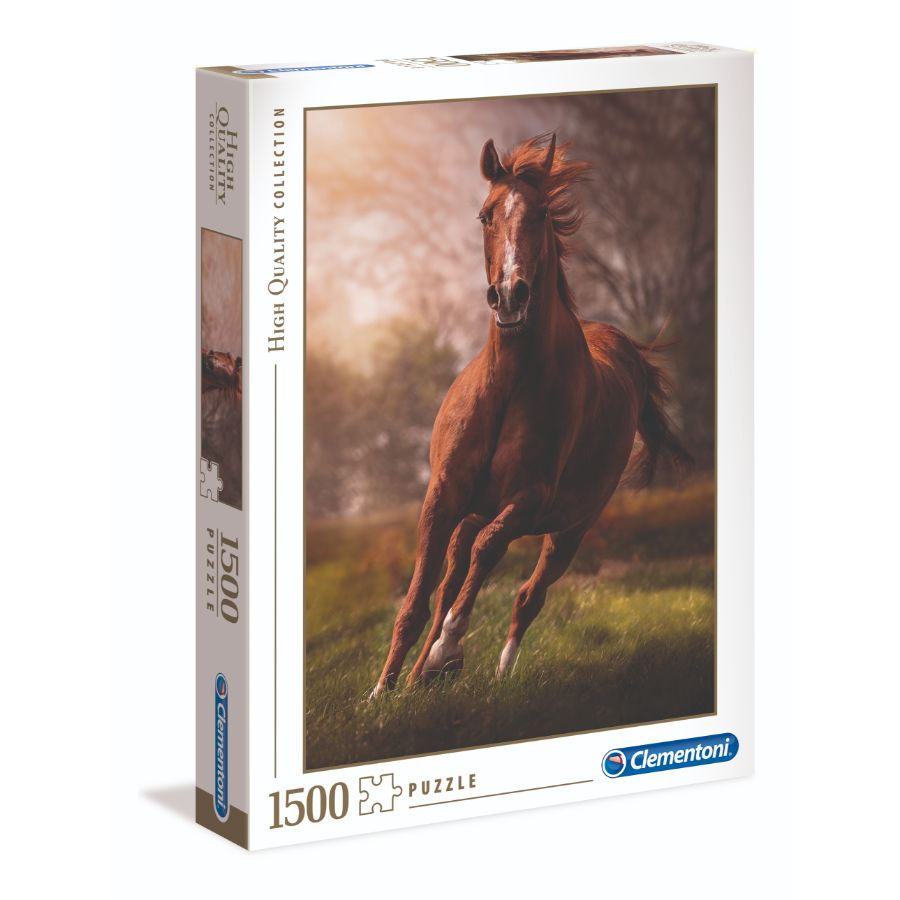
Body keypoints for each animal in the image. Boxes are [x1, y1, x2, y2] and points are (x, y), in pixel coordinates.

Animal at [371, 133, 691, 697]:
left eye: (541, 212)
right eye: (485, 215)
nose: (510, 294)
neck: (508, 385)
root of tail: (625, 347)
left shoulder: (528, 498)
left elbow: (487, 556)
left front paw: (448, 650)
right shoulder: (443, 495)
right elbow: (418, 598)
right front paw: (381, 693)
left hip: (570, 530)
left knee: (525, 594)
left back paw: (487, 672)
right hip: (479, 510)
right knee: (455, 573)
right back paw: (417, 679)